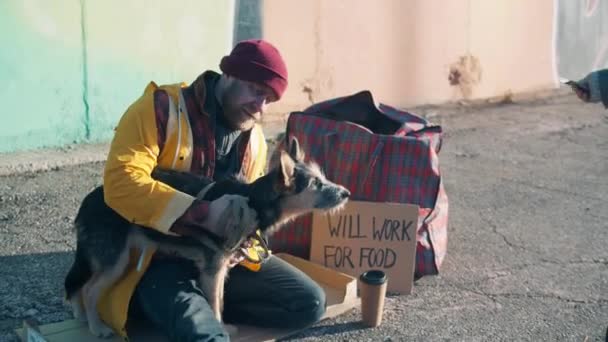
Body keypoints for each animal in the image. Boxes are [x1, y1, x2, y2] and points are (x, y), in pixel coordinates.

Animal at [63, 136, 350, 336]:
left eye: (322, 177)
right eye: (316, 184)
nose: (347, 193)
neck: (252, 200)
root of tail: (86, 204)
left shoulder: (220, 268)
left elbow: (220, 300)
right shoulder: (213, 268)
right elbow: (213, 302)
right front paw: (221, 326)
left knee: (79, 284)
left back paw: (80, 315)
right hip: (116, 260)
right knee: (89, 289)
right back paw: (97, 327)